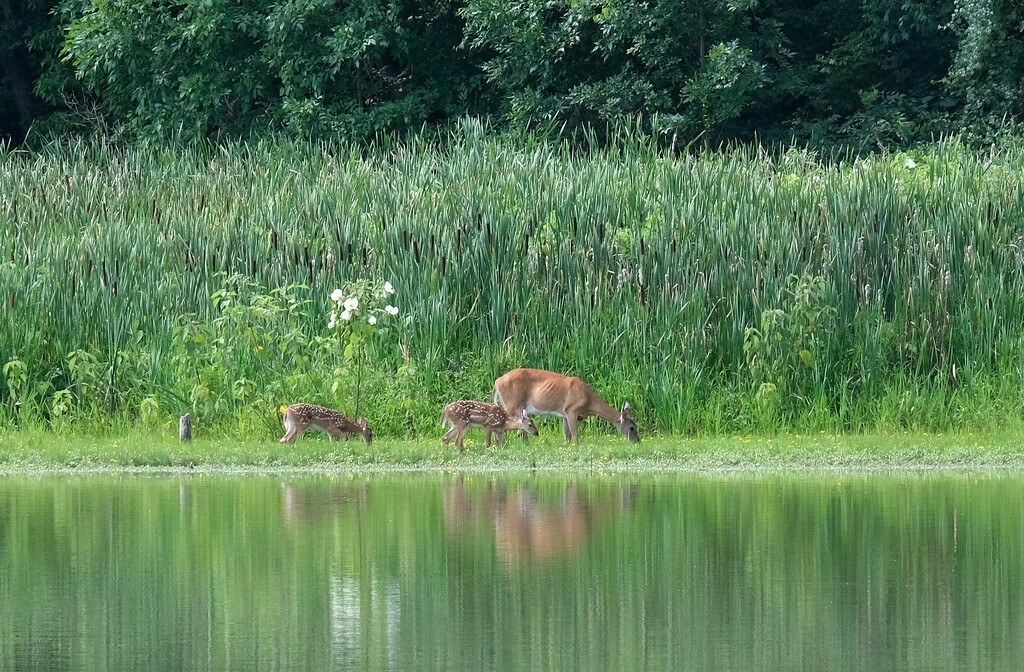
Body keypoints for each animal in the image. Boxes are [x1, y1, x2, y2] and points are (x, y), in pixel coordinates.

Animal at [489, 366, 638, 440]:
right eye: (632, 428)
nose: (637, 441)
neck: (588, 400)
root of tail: (497, 381)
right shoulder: (572, 409)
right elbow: (575, 435)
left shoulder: (564, 414)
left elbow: (567, 436)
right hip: (511, 403)